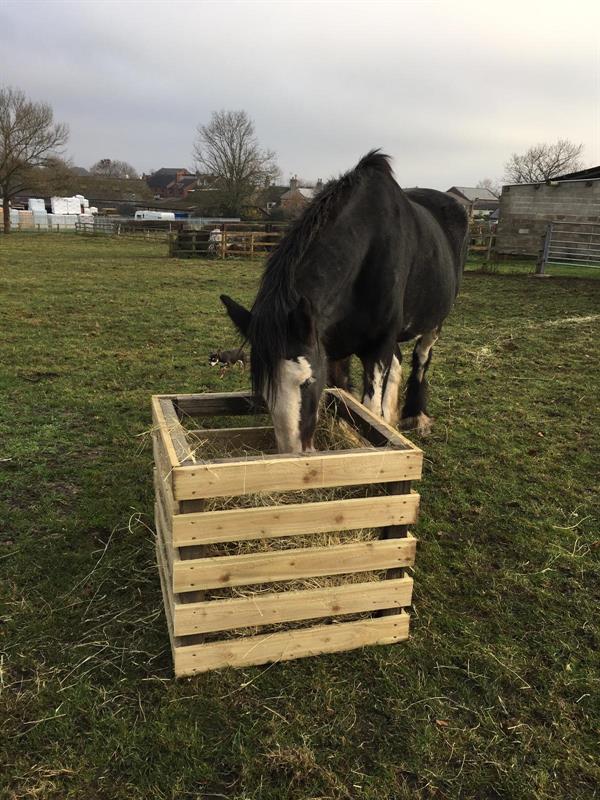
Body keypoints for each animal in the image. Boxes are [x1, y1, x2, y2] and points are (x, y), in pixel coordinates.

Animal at [220, 150, 468, 450]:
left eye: (307, 381)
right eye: (263, 388)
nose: (294, 452)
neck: (368, 244)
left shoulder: (377, 349)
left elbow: (368, 411)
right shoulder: (331, 347)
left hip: (433, 323)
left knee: (421, 358)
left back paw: (415, 417)